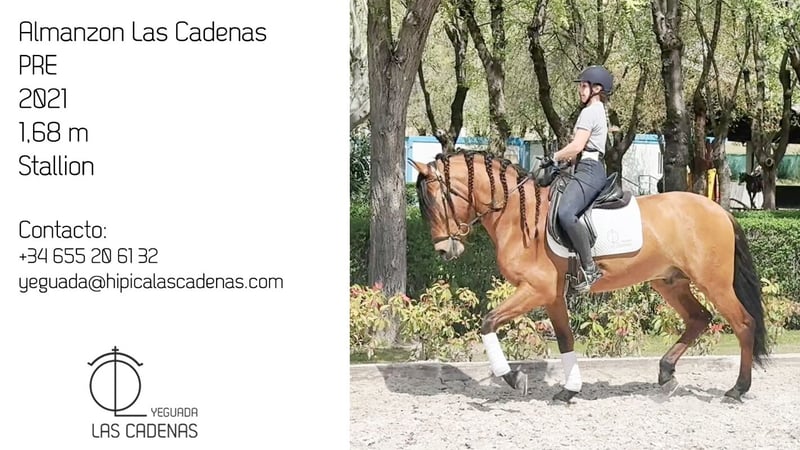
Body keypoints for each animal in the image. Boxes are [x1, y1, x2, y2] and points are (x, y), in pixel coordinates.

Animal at [410, 149, 768, 403]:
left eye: (435, 202)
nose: (444, 250)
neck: (517, 217)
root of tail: (718, 210)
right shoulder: (552, 296)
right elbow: (565, 339)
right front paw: (569, 390)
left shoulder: (536, 290)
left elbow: (487, 322)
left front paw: (513, 378)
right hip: (669, 281)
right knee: (698, 318)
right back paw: (667, 374)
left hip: (713, 282)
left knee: (743, 323)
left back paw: (737, 389)